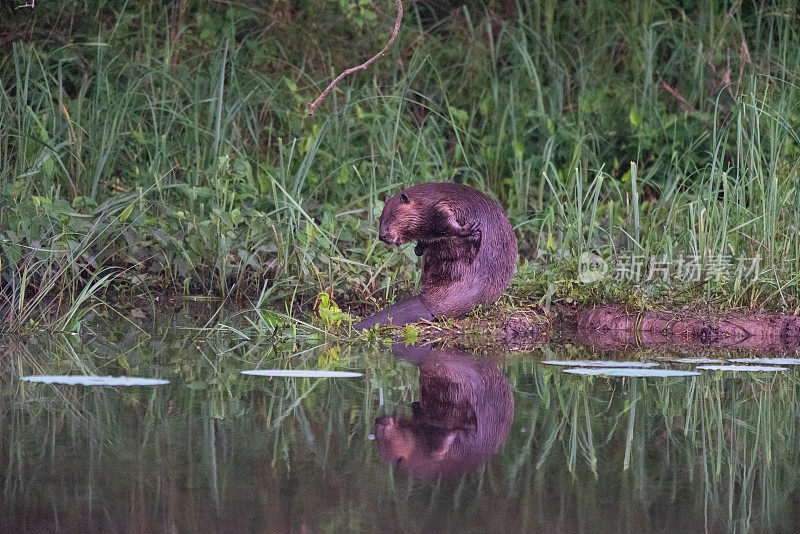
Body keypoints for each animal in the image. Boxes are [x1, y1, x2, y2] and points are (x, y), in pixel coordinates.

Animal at [354, 183, 516, 330]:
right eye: (380, 218)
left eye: (393, 216)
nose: (382, 236)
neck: (423, 200)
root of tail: (427, 304)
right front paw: (418, 247)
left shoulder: (438, 207)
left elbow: (448, 222)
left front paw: (470, 228)